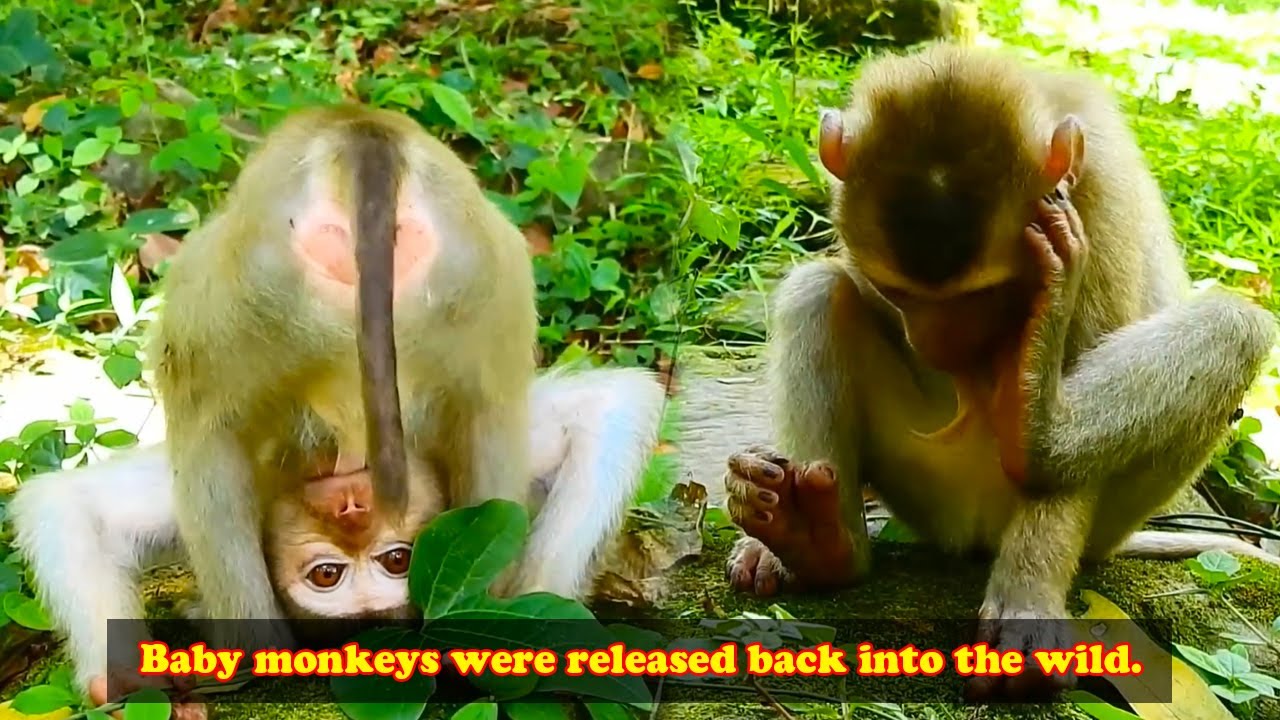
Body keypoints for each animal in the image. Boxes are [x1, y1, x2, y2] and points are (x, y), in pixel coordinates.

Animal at [10, 367, 665, 702]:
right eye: (329, 574)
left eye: (396, 562)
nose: (351, 506)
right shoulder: (221, 497)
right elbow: (68, 504)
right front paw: (129, 682)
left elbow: (612, 404)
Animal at [148, 105, 538, 640]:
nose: (351, 508)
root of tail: (361, 136)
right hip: (482, 274)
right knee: (492, 419)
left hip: (243, 290)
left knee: (205, 437)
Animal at [720, 43, 1278, 701]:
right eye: (898, 292)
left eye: (987, 294)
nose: (935, 345)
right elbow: (840, 282)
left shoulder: (1101, 185)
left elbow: (1084, 363)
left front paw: (1026, 611)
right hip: (928, 488)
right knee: (816, 288)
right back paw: (818, 542)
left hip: (1105, 523)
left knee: (1235, 326)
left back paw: (1040, 430)